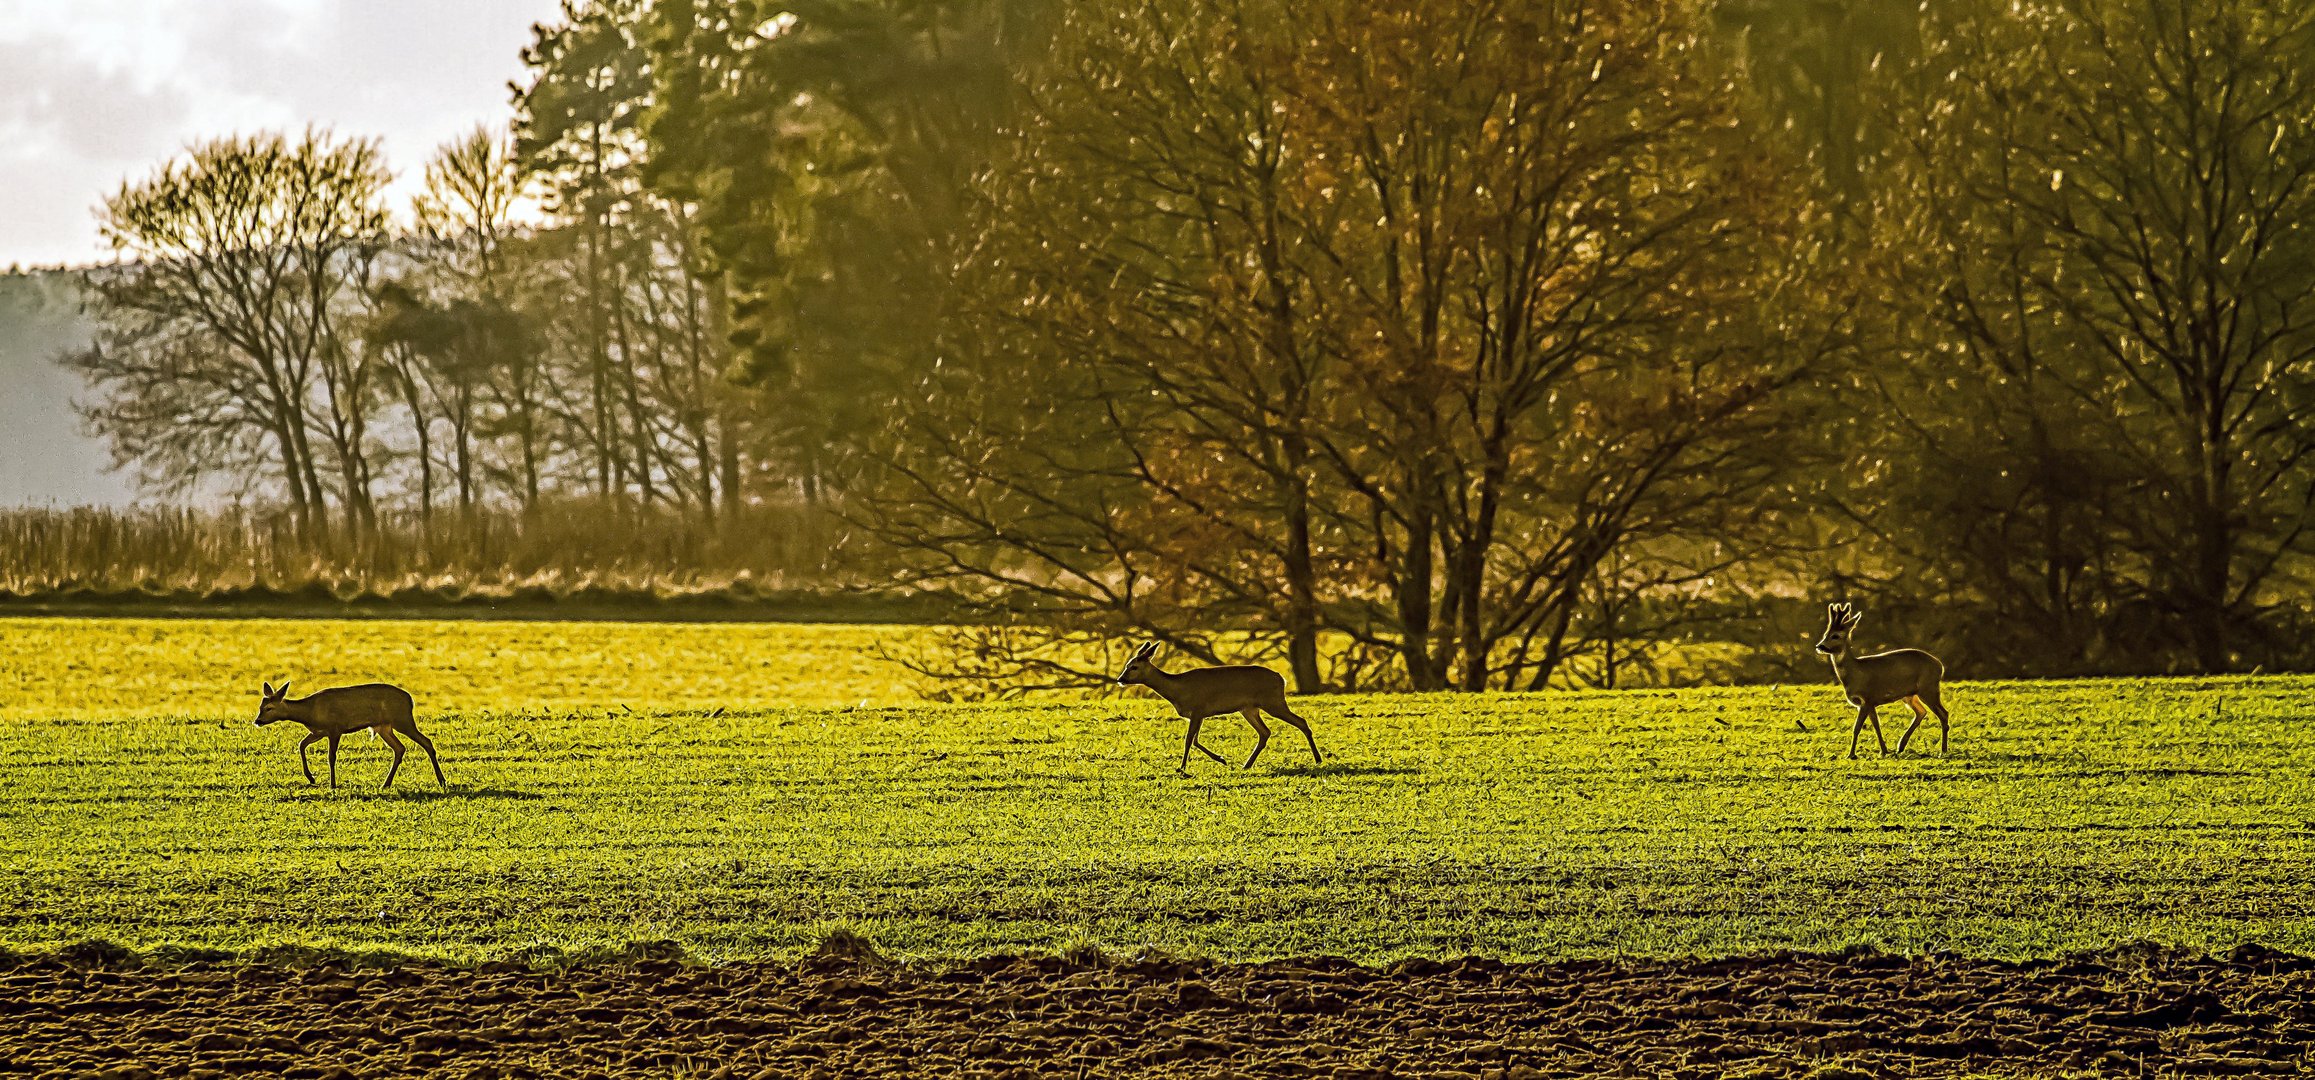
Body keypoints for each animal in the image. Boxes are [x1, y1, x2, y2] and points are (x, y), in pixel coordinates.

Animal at [258, 684, 446, 795]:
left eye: (269, 708)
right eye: (260, 707)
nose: (257, 721)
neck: (310, 712)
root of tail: (410, 700)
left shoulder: (335, 729)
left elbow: (331, 757)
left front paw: (332, 784)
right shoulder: (319, 732)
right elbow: (301, 744)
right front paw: (311, 778)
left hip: (402, 720)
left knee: (426, 742)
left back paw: (442, 780)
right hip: (384, 726)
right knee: (400, 748)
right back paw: (385, 784)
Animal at [1115, 642, 1324, 777]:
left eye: (1134, 667)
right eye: (1127, 665)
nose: (1120, 679)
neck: (1178, 690)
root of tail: (1282, 679)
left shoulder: (1198, 709)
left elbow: (1189, 740)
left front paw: (1182, 768)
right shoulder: (1199, 714)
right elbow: (1195, 740)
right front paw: (1222, 759)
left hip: (1273, 702)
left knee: (1301, 722)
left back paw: (1318, 759)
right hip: (1249, 708)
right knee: (1265, 732)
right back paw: (1246, 765)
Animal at [1814, 601, 1944, 763]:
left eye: (1835, 635)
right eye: (1826, 634)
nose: (1819, 646)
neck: (1855, 672)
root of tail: (1940, 666)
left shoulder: (1866, 698)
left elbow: (1857, 727)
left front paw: (1851, 754)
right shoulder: (1870, 702)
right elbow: (1876, 725)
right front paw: (1884, 751)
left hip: (1928, 688)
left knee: (1943, 714)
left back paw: (1942, 751)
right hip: (1910, 695)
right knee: (1921, 712)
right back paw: (1901, 746)